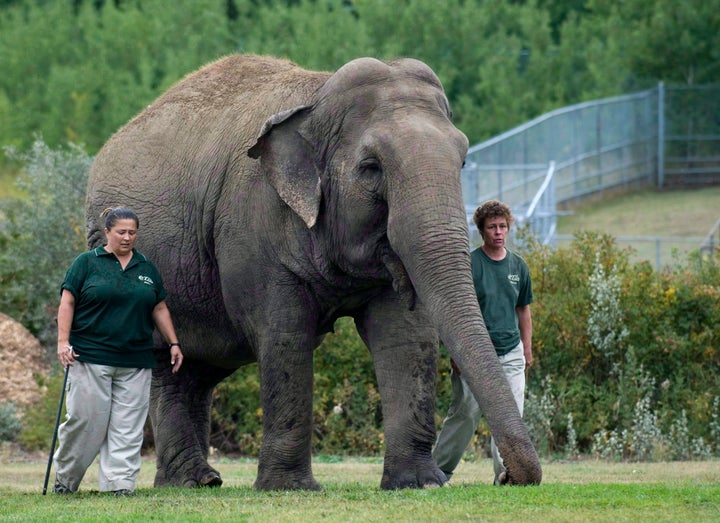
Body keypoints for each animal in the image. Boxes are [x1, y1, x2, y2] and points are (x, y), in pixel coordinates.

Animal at [86, 54, 540, 492]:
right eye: (371, 167)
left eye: (462, 160)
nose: (511, 478)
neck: (316, 96)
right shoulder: (254, 224)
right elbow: (286, 335)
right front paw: (289, 488)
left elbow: (406, 337)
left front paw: (420, 484)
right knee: (169, 363)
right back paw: (191, 481)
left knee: (195, 370)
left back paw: (199, 481)